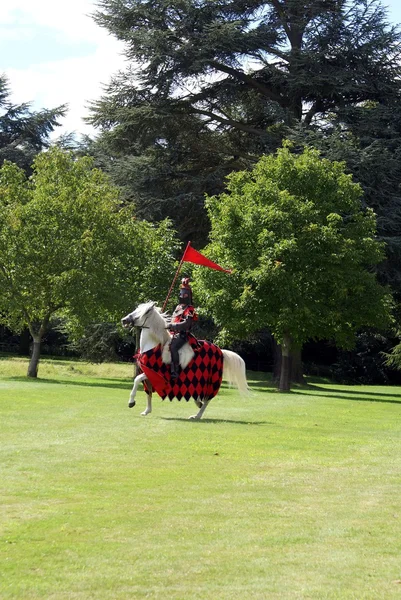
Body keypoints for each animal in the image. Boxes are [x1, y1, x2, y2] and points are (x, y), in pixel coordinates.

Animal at [120, 302, 248, 420]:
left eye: (143, 312)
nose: (124, 320)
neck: (155, 345)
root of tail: (220, 351)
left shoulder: (157, 374)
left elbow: (137, 380)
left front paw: (131, 402)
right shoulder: (149, 374)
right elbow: (148, 392)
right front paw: (147, 411)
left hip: (211, 381)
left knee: (207, 399)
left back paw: (197, 415)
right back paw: (197, 405)